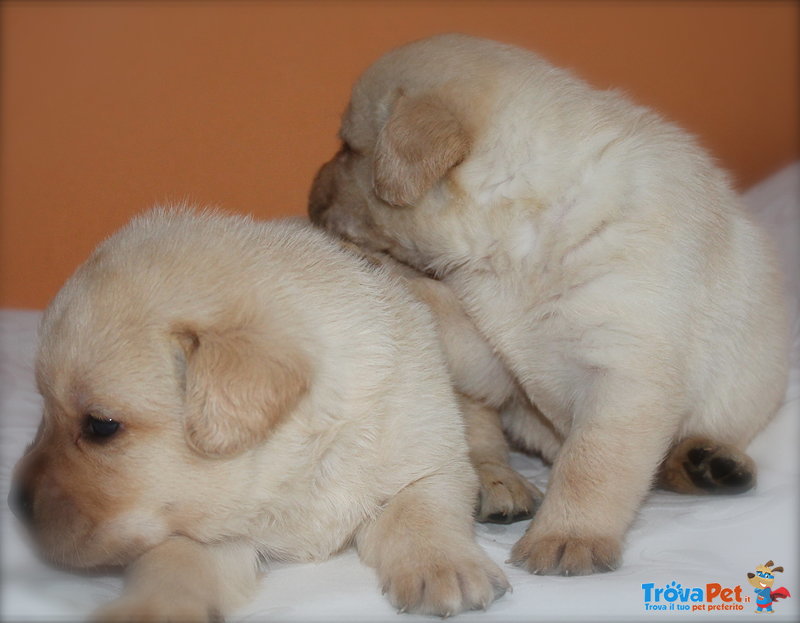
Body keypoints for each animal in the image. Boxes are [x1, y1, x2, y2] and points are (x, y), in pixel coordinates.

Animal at [9, 208, 510, 620]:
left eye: (101, 427)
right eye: (45, 410)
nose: (14, 504)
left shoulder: (428, 455)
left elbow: (422, 508)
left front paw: (444, 569)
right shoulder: (211, 529)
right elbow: (173, 562)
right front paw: (149, 610)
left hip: (472, 357)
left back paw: (502, 484)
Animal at [310, 34, 792, 576]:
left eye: (348, 149)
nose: (309, 192)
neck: (524, 225)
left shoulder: (625, 373)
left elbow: (590, 466)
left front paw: (566, 540)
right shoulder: (491, 349)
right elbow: (441, 304)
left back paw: (706, 463)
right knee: (478, 443)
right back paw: (501, 486)